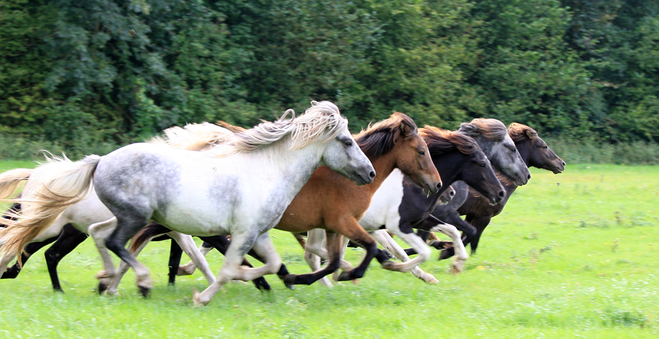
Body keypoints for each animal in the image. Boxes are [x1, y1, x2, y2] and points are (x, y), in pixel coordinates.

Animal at [0, 100, 376, 306]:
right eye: (346, 141)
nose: (370, 173)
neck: (267, 171)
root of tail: (100, 160)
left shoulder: (259, 233)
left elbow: (270, 265)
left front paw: (253, 279)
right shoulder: (241, 234)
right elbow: (226, 269)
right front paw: (204, 295)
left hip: (126, 217)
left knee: (98, 234)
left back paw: (106, 280)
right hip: (133, 218)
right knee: (113, 242)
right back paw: (140, 282)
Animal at [108, 111, 444, 292]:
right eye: (421, 151)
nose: (438, 184)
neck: (342, 179)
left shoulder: (335, 227)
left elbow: (333, 258)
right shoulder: (343, 222)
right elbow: (364, 251)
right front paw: (344, 275)